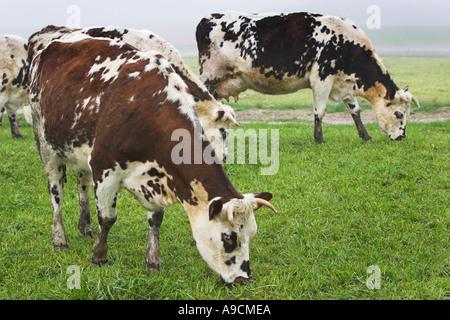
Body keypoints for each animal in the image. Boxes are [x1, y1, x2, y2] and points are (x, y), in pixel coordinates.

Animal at [195, 11, 420, 142]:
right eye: (399, 113)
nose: (402, 137)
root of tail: (210, 17)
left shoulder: (344, 84)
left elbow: (355, 110)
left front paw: (365, 136)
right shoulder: (322, 79)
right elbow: (319, 112)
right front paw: (319, 139)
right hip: (208, 76)